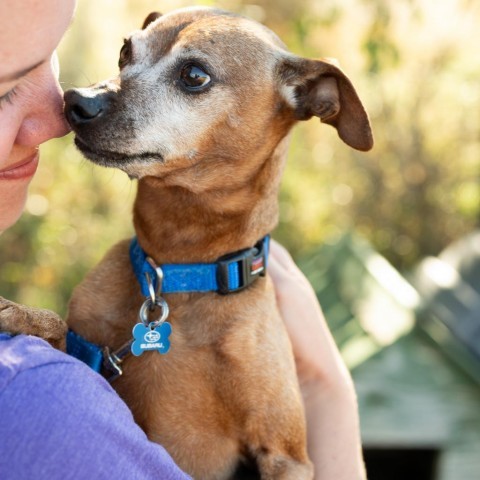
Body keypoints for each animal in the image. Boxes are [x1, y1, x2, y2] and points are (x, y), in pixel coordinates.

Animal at [62, 7, 372, 480]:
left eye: (194, 75)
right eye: (124, 52)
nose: (76, 101)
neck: (180, 273)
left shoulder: (285, 455)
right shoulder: (78, 342)